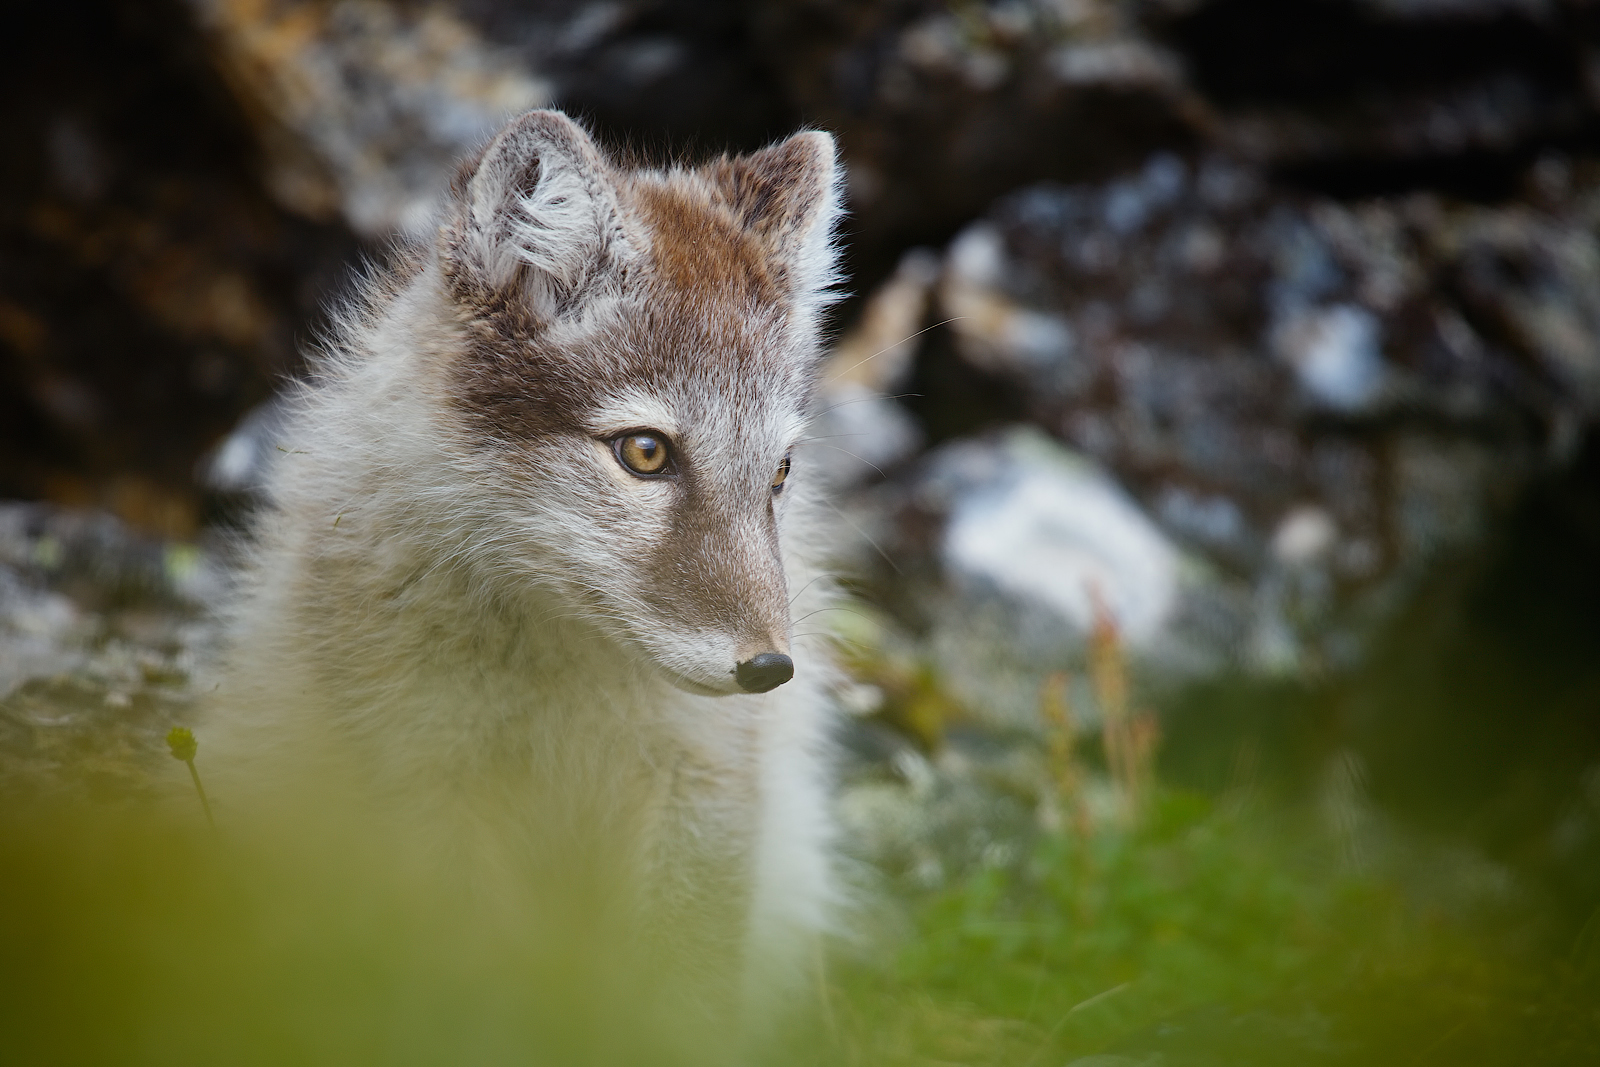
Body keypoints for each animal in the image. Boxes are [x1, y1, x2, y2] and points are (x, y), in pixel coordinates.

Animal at [212, 110, 851, 1036]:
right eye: (645, 452)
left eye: (780, 472)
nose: (769, 668)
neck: (562, 682)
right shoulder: (426, 789)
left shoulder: (706, 788)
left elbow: (681, 997)